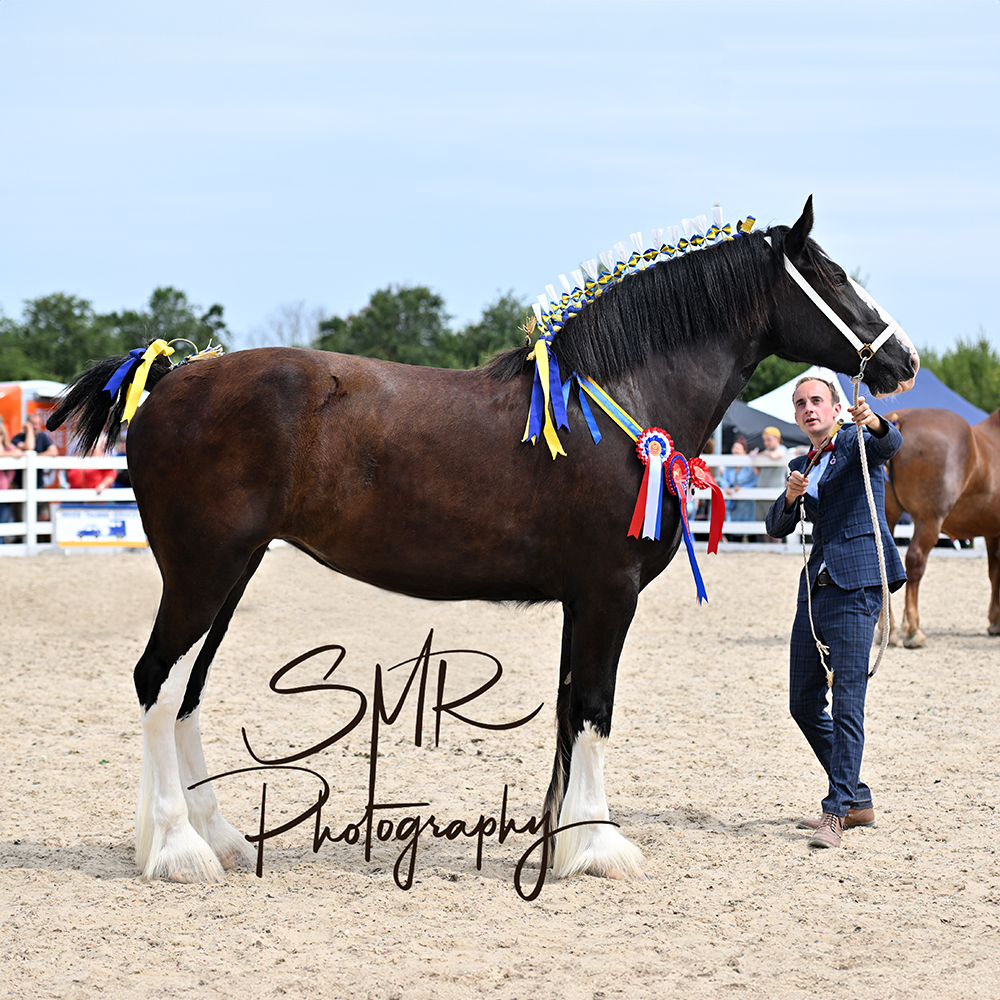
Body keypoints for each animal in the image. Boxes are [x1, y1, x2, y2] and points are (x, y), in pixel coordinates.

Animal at [50, 199, 916, 888]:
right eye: (832, 275)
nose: (903, 361)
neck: (618, 404)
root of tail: (170, 380)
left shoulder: (583, 600)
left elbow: (569, 711)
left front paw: (559, 843)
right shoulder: (608, 593)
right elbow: (594, 709)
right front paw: (598, 849)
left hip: (232, 574)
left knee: (184, 692)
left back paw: (215, 840)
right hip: (203, 571)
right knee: (156, 682)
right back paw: (177, 851)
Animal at [880, 406, 996, 648]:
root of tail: (899, 418)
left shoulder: (991, 533)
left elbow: (994, 571)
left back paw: (888, 631)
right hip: (929, 520)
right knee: (915, 562)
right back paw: (913, 630)